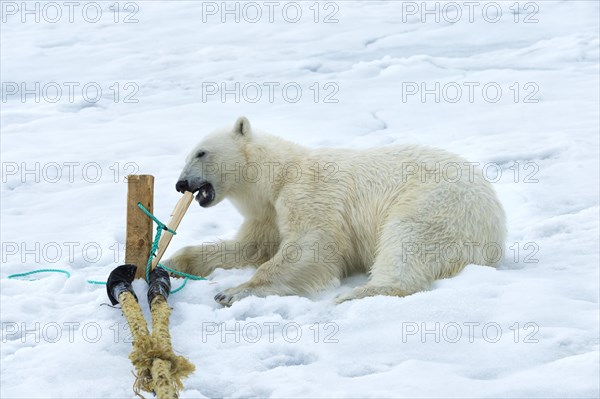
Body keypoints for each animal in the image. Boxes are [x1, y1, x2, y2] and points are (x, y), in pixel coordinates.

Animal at [165, 116, 506, 306]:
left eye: (201, 152)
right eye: (190, 153)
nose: (180, 184)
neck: (279, 175)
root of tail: (496, 225)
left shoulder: (309, 194)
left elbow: (312, 246)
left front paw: (232, 292)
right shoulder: (267, 214)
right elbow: (251, 246)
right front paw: (170, 263)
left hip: (435, 204)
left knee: (407, 241)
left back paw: (357, 293)